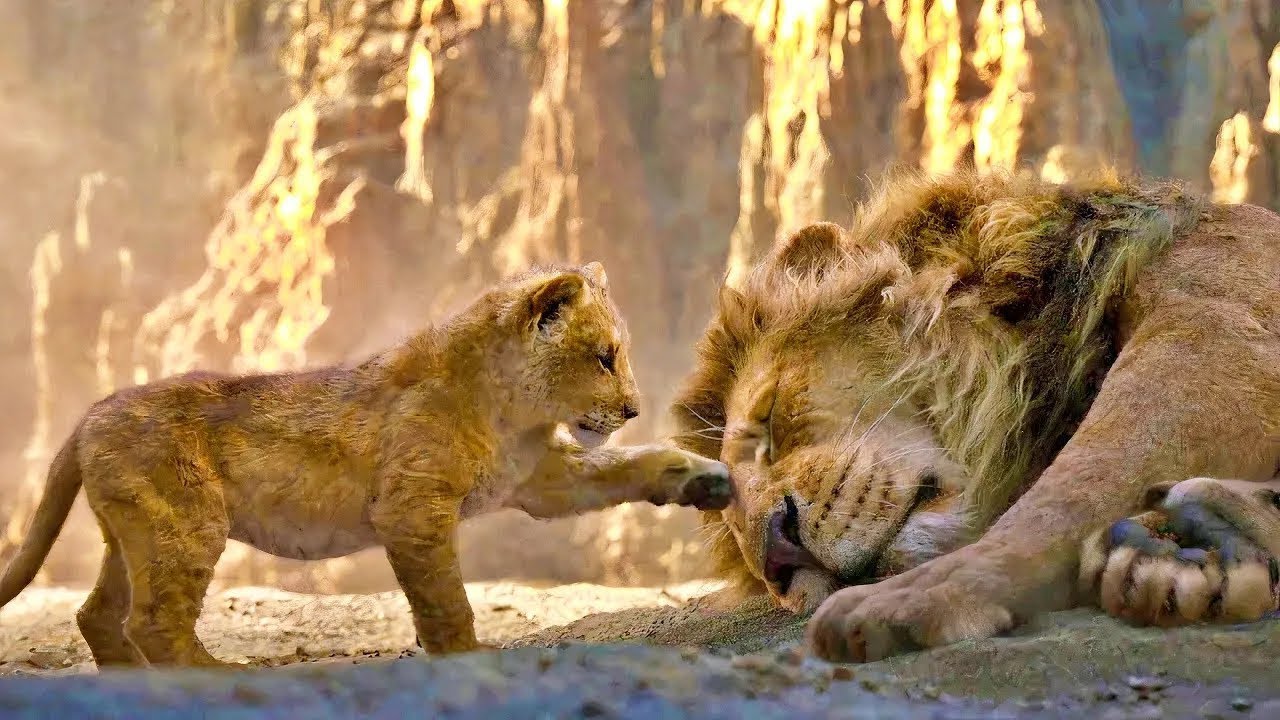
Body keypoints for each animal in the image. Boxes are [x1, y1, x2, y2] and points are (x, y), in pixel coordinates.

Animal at [0, 261, 733, 668]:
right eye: (605, 357)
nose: (633, 409)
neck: (514, 411)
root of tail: (91, 412)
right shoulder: (412, 508)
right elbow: (445, 599)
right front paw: (465, 657)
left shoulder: (545, 481)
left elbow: (628, 467)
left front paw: (702, 478)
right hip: (184, 525)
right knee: (151, 621)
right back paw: (218, 676)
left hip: (136, 535)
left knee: (98, 614)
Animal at [669, 169, 1280, 663]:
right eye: (736, 530)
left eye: (770, 418)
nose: (777, 554)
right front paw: (1171, 566)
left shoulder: (1214, 336)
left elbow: (1071, 489)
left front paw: (909, 599)